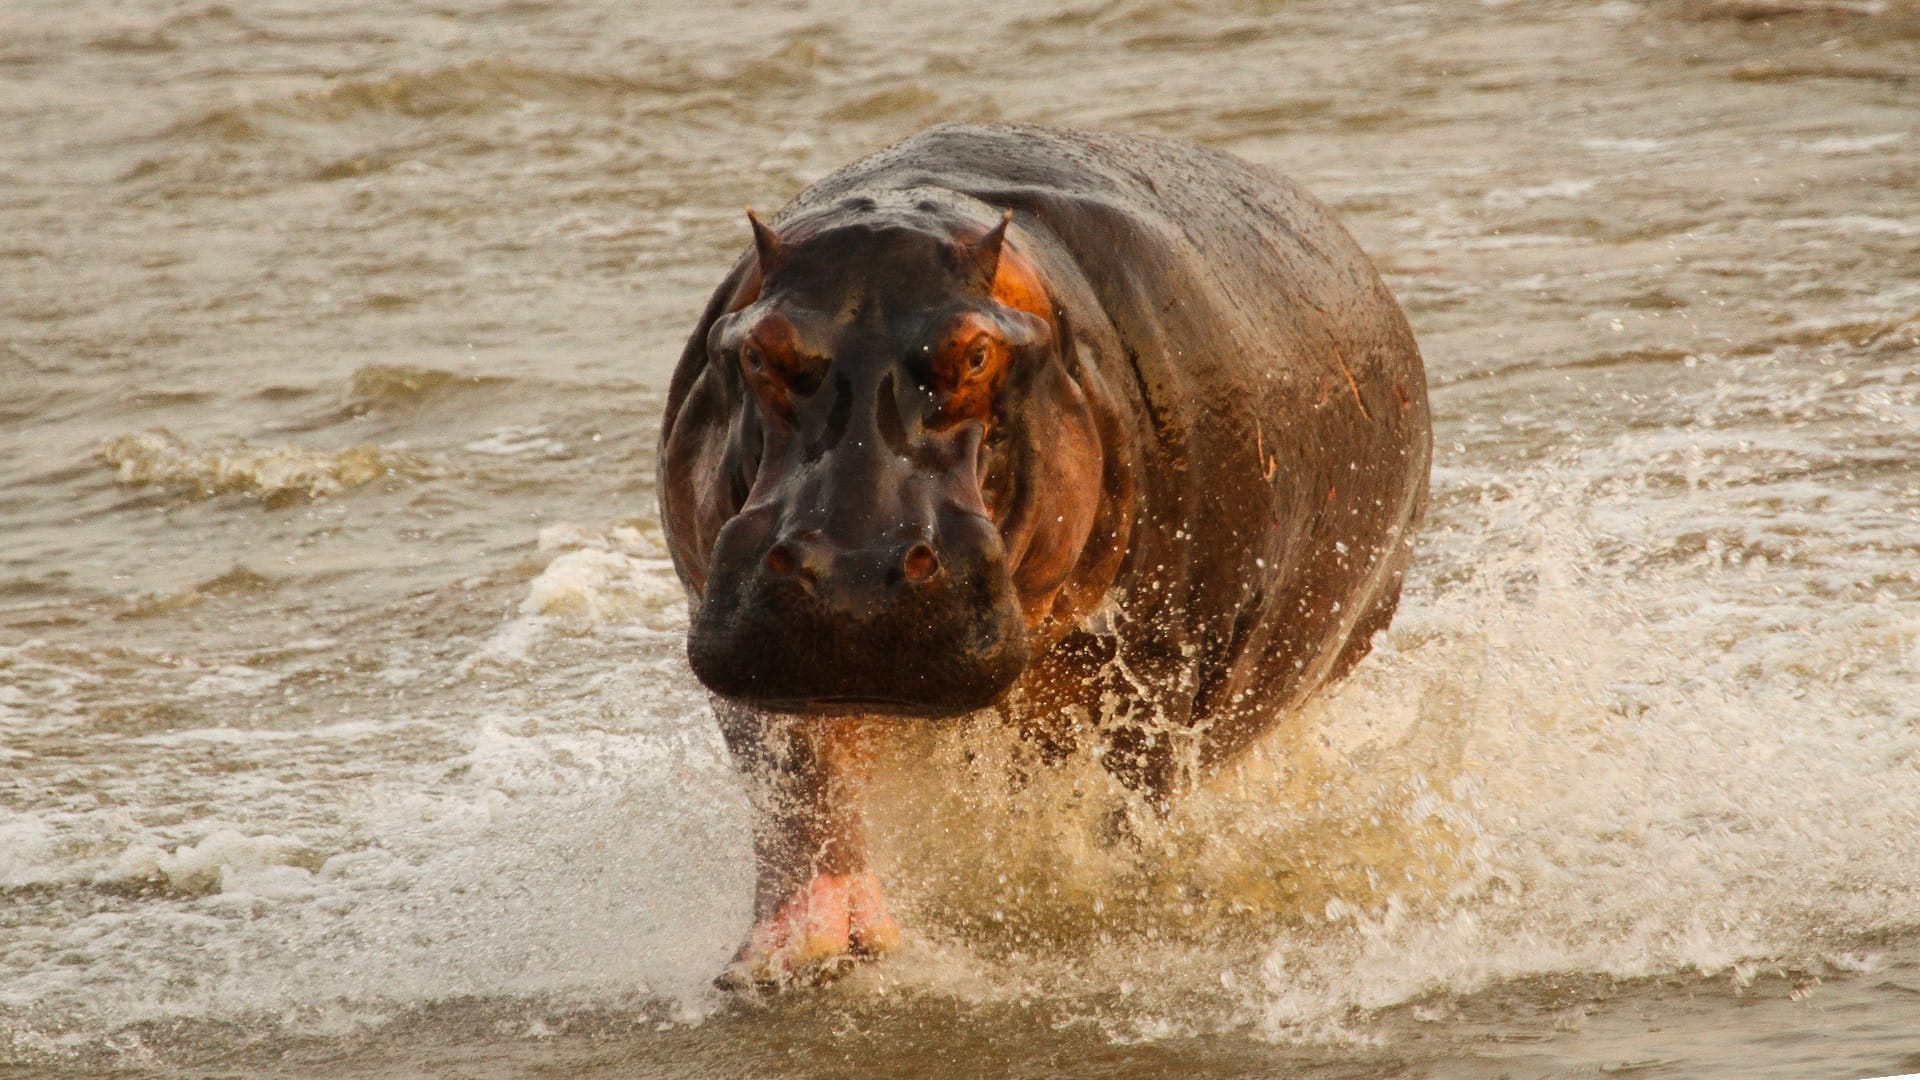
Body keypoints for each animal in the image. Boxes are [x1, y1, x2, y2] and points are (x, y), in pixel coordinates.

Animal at [657, 123, 1431, 986]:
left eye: (975, 354)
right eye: (760, 350)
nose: (851, 573)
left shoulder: (1162, 666)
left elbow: (1121, 805)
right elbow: (797, 785)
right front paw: (792, 957)